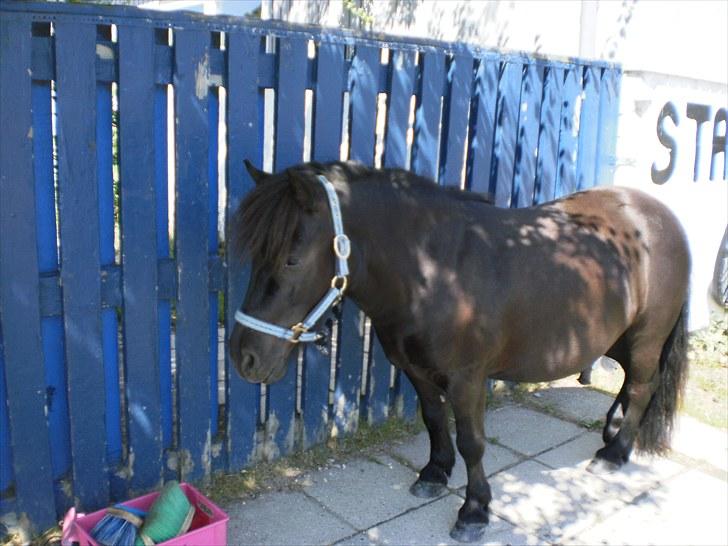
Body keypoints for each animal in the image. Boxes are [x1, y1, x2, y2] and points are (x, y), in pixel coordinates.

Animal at [228, 160, 690, 542]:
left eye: (291, 259)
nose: (243, 356)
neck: (435, 271)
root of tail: (660, 215)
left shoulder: (467, 379)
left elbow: (472, 442)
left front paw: (474, 510)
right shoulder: (414, 369)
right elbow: (434, 419)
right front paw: (435, 473)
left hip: (646, 337)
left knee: (643, 387)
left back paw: (615, 453)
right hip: (618, 338)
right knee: (633, 382)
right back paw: (613, 429)